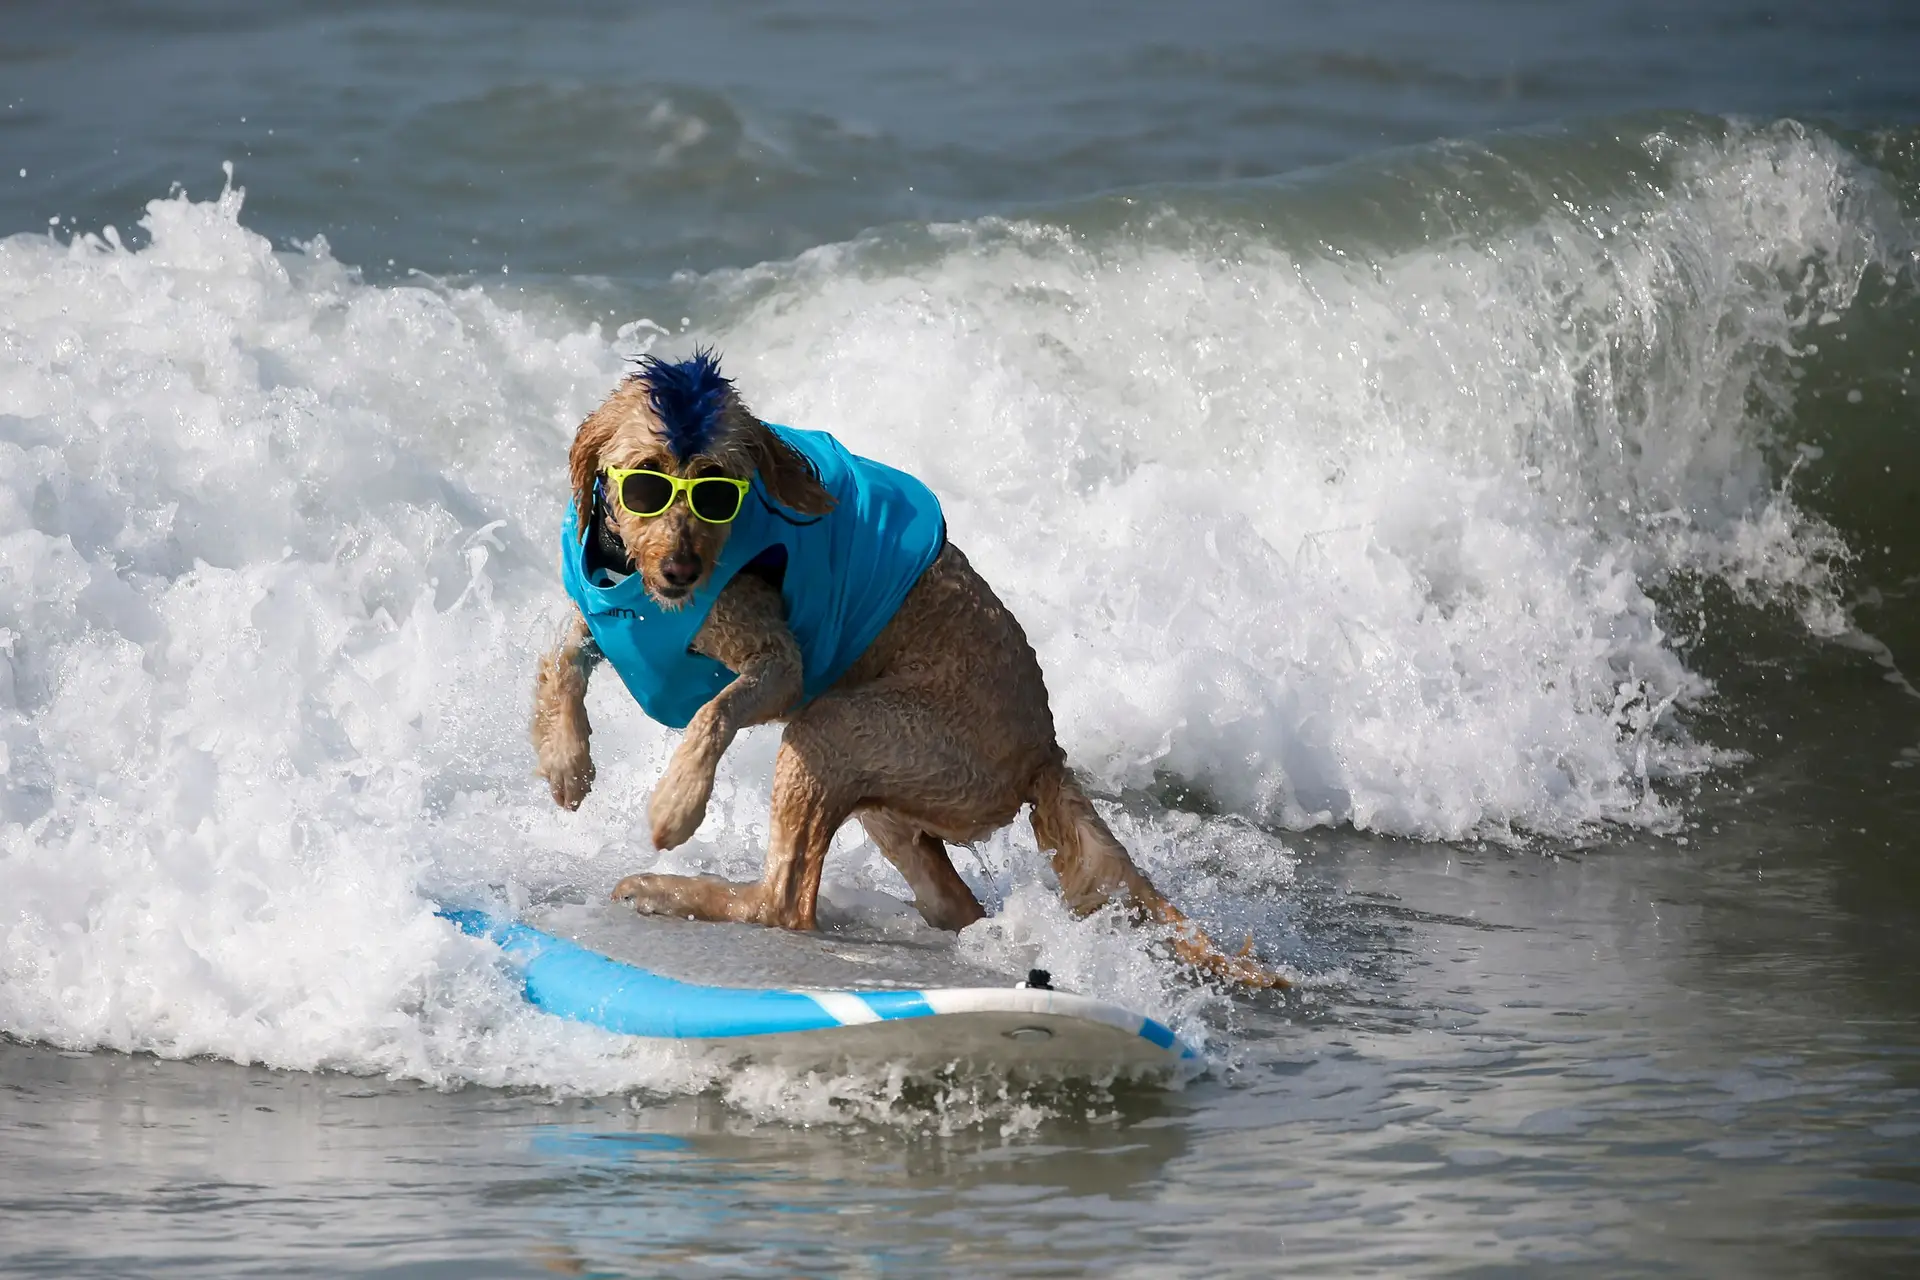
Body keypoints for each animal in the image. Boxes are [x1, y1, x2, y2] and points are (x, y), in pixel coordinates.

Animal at [533, 351, 1282, 990]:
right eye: (646, 480)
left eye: (720, 488)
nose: (682, 571)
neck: (639, 582)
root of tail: (1047, 751)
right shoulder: (606, 616)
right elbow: (561, 653)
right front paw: (566, 760)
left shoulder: (781, 666)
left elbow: (714, 710)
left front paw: (677, 801)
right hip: (887, 788)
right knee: (952, 907)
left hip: (834, 726)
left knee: (782, 903)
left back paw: (674, 890)